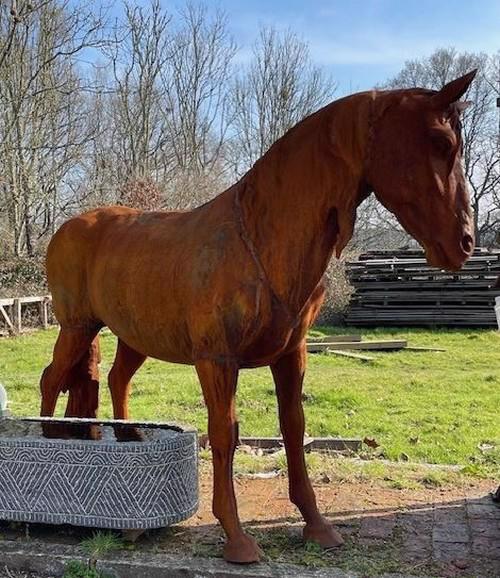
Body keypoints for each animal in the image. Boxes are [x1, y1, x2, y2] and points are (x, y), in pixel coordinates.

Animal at [41, 70, 474, 560]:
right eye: (440, 141)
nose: (464, 242)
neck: (261, 239)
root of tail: (68, 228)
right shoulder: (217, 361)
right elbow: (224, 432)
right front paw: (236, 535)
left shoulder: (291, 355)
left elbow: (294, 427)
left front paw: (316, 524)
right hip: (76, 326)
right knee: (53, 379)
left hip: (132, 335)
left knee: (115, 379)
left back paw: (129, 439)